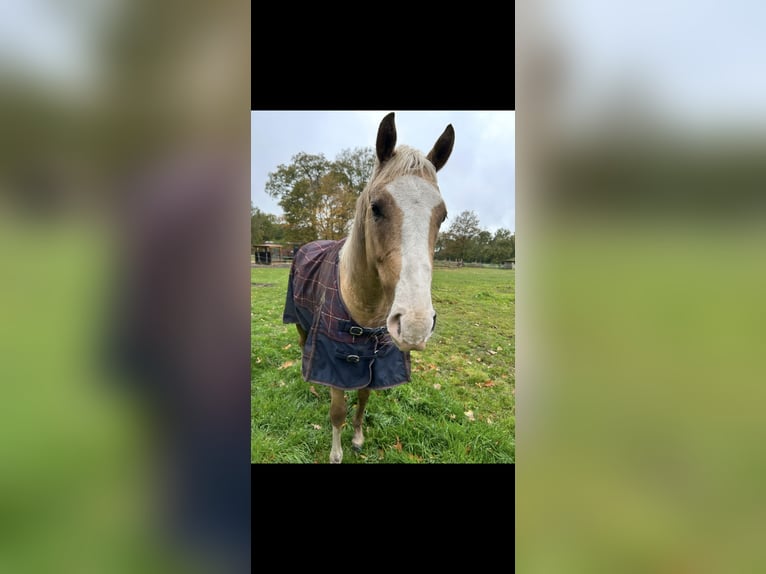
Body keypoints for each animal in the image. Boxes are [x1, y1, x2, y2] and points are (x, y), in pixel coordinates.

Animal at [283, 112, 454, 463]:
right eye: (376, 207)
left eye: (442, 216)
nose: (415, 326)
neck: (364, 308)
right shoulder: (336, 362)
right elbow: (337, 412)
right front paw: (336, 454)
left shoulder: (372, 363)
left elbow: (363, 398)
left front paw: (359, 438)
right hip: (301, 324)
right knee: (304, 348)